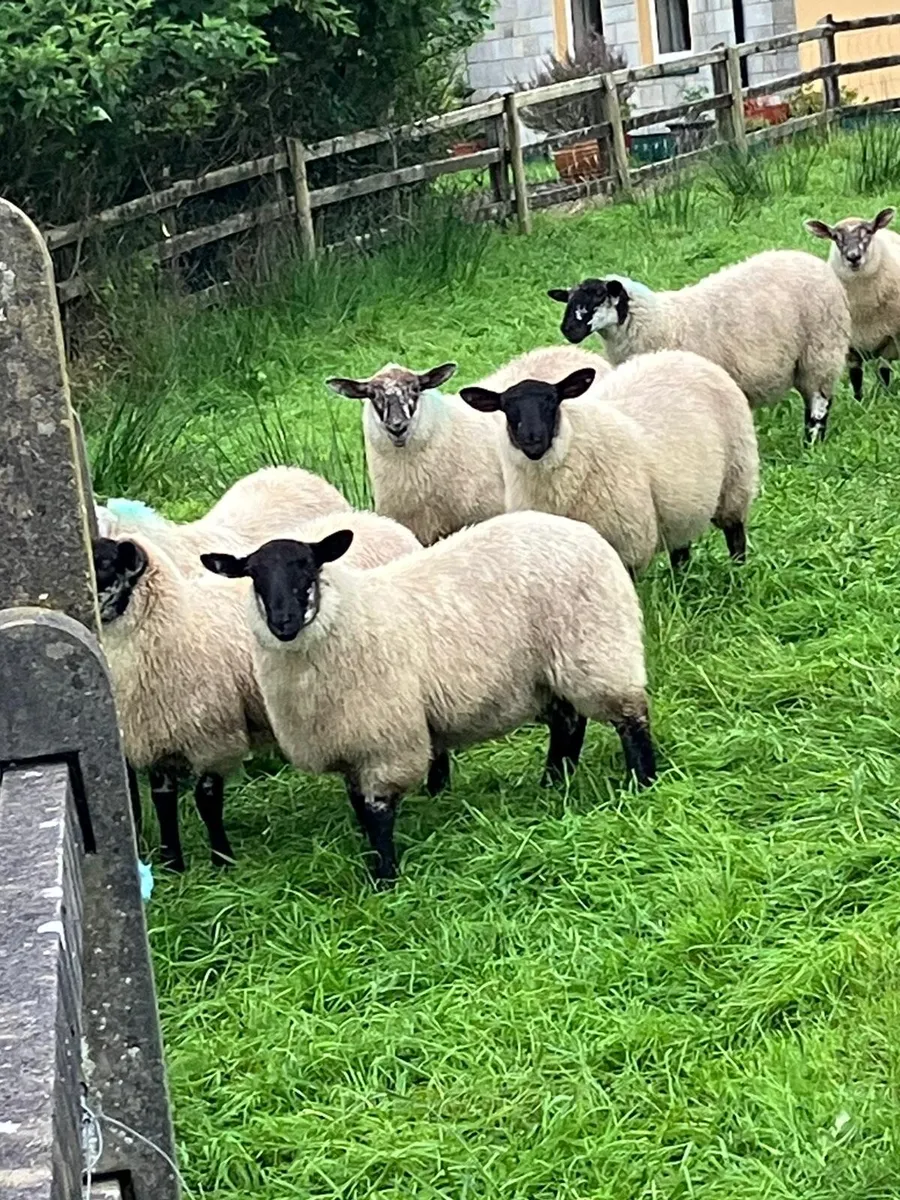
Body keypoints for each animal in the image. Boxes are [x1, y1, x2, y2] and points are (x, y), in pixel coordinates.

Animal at [94, 509, 421, 872]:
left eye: (105, 563)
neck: (177, 620)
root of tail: (376, 518)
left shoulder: (214, 737)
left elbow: (207, 800)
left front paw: (222, 860)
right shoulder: (156, 737)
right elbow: (163, 802)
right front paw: (172, 864)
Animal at [202, 510, 656, 886]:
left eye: (308, 568)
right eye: (253, 576)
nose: (284, 623)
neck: (346, 617)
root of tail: (584, 531)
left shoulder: (386, 741)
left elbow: (378, 812)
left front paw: (385, 878)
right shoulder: (351, 744)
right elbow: (359, 807)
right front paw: (371, 859)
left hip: (598, 648)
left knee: (631, 718)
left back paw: (643, 782)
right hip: (549, 673)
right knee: (568, 725)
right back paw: (553, 784)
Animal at [460, 350, 759, 575]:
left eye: (553, 401)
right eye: (507, 408)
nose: (532, 440)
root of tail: (684, 355)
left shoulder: (628, 543)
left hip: (736, 479)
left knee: (735, 535)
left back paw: (738, 574)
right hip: (679, 506)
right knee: (681, 550)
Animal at [548, 249, 851, 443]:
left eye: (599, 297)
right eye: (570, 300)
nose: (568, 330)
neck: (662, 321)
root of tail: (813, 261)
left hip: (821, 349)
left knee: (819, 401)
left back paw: (812, 442)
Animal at [805, 207, 900, 399]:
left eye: (869, 232)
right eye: (835, 237)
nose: (853, 257)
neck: (864, 308)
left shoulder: (891, 340)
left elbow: (883, 373)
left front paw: (885, 398)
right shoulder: (850, 346)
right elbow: (856, 377)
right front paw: (859, 401)